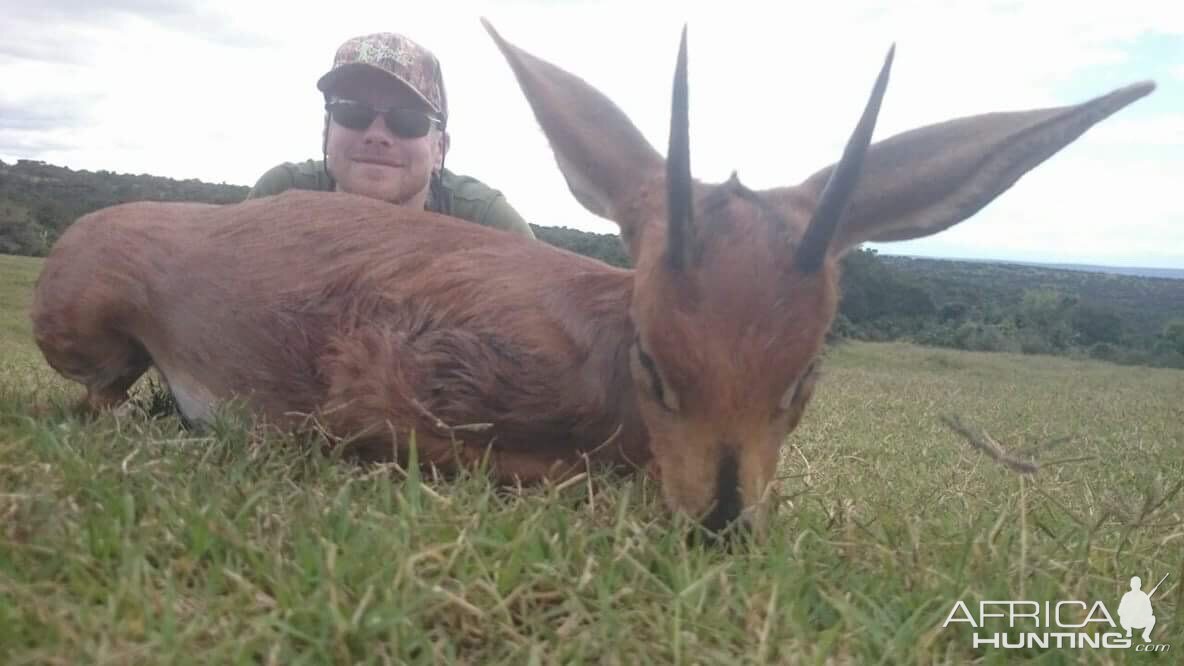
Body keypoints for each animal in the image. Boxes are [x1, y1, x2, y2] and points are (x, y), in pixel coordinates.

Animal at [30, 20, 1155, 533]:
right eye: (655, 364)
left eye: (803, 380)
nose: (720, 523)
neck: (599, 353)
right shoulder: (379, 399)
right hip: (90, 340)